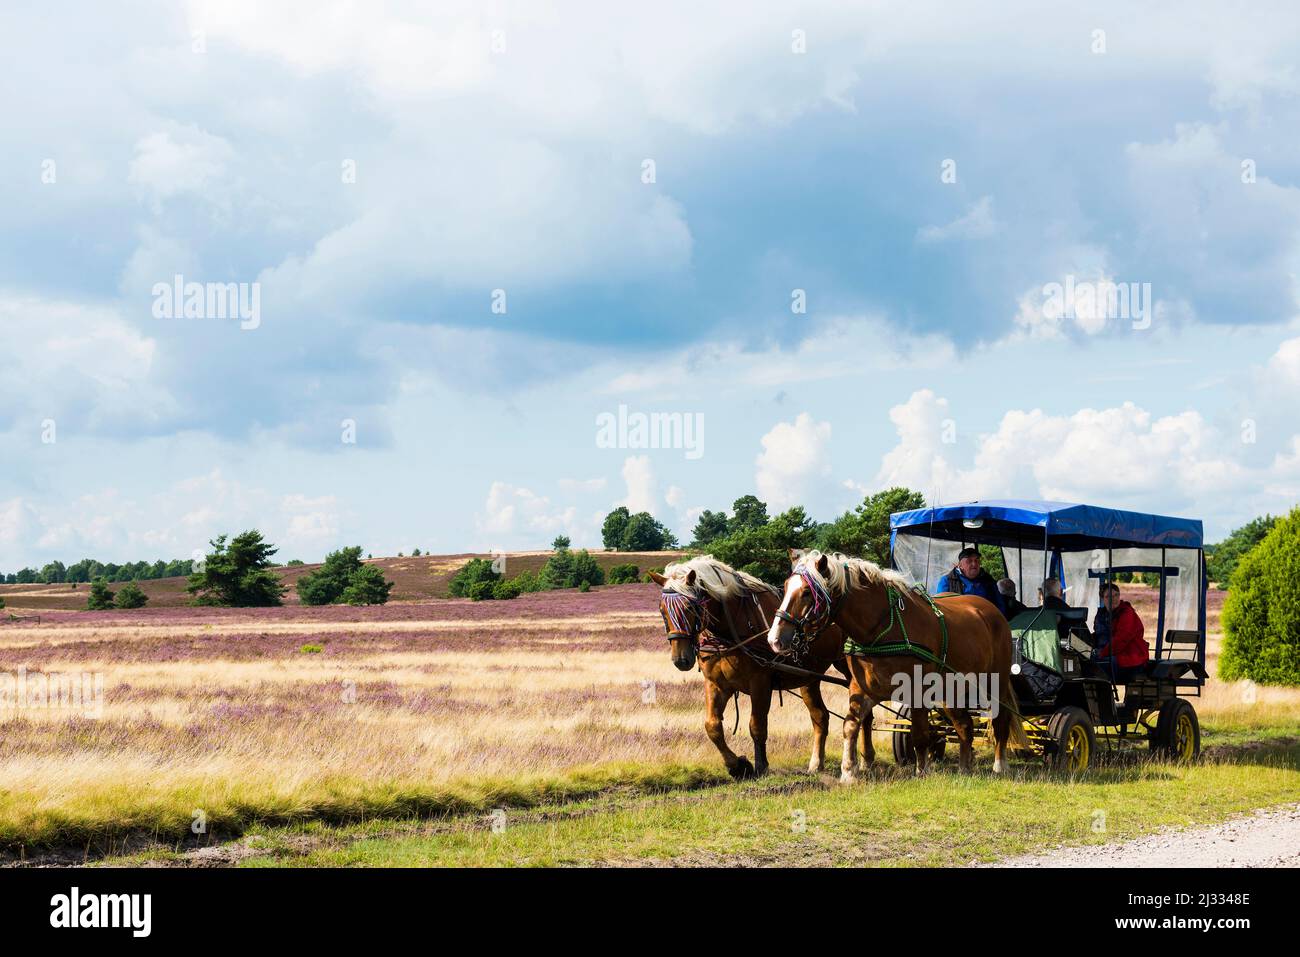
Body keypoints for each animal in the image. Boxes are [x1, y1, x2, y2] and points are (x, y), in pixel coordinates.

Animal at [650, 556, 873, 780]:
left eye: (690, 607)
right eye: (662, 609)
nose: (680, 659)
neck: (731, 629)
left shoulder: (759, 682)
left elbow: (756, 725)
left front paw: (760, 765)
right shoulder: (716, 684)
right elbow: (712, 726)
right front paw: (737, 765)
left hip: (854, 671)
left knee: (865, 713)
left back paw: (866, 760)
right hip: (810, 677)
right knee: (820, 717)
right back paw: (817, 764)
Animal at [764, 548, 1029, 780]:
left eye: (807, 592)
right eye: (785, 588)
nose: (775, 639)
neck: (881, 629)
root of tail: (990, 611)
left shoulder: (918, 691)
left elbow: (920, 733)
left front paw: (922, 770)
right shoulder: (863, 688)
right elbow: (851, 724)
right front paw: (849, 771)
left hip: (996, 682)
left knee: (1000, 721)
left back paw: (999, 765)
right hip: (952, 690)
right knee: (964, 725)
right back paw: (965, 767)